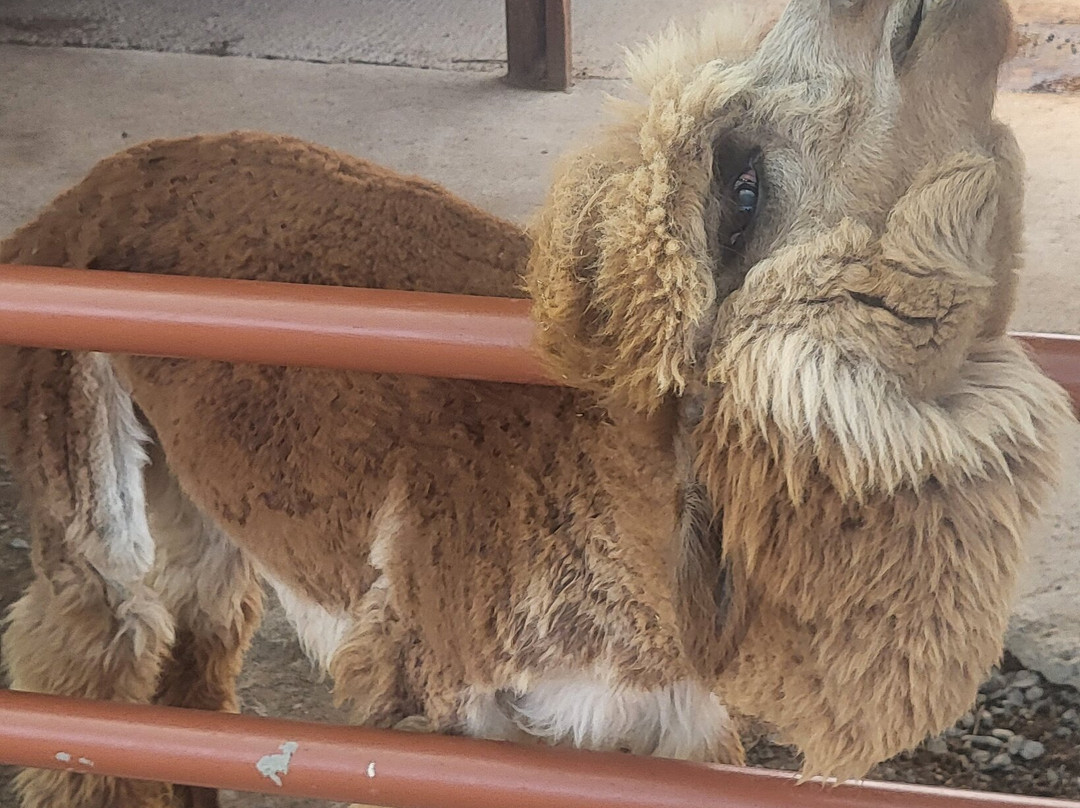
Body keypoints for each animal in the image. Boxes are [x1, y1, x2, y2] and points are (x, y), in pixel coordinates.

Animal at [0, 1, 1072, 806]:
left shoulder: (657, 727)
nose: (870, 4)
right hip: (77, 440)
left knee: (197, 642)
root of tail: (87, 191)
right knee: (97, 651)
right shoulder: (442, 708)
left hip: (197, 479)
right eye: (742, 186)